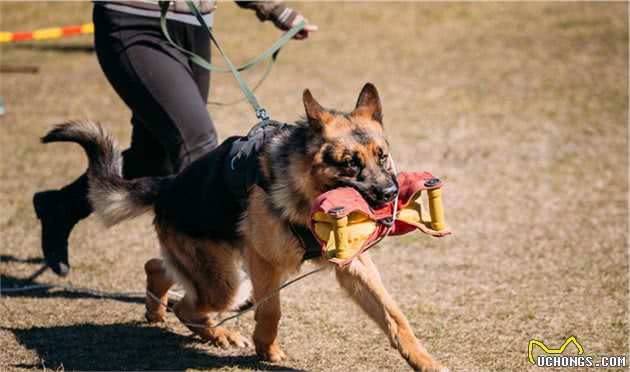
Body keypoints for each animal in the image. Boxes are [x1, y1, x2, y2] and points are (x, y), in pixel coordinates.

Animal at [43, 84, 450, 372]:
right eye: (350, 163)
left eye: (383, 156)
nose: (390, 193)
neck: (304, 189)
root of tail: (169, 184)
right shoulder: (264, 263)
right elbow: (271, 312)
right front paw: (266, 350)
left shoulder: (354, 264)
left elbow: (395, 317)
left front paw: (424, 361)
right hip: (229, 283)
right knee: (188, 305)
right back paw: (219, 333)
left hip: (216, 268)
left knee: (158, 268)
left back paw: (157, 311)